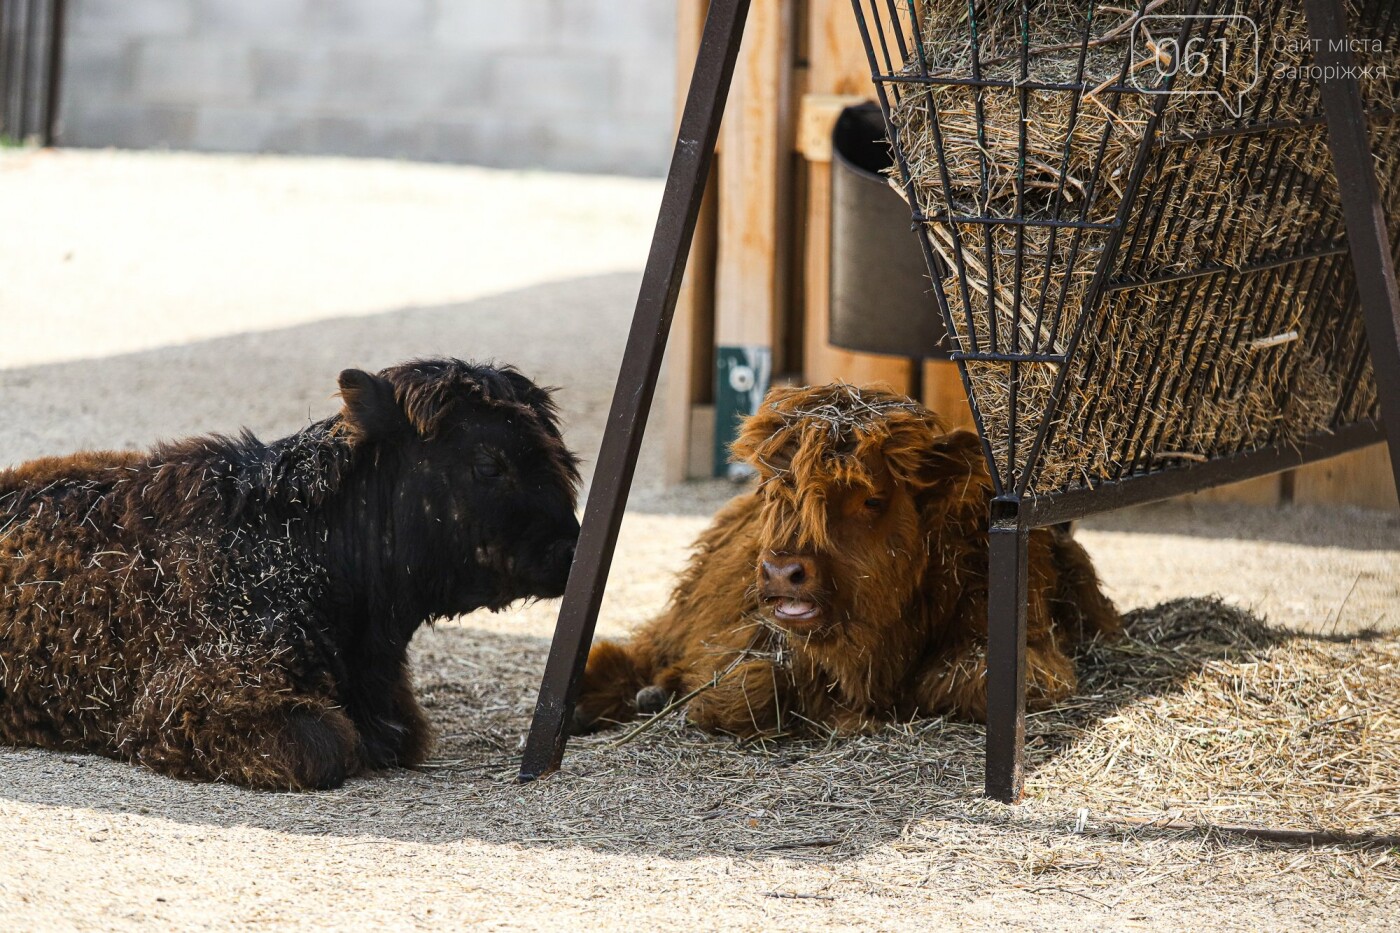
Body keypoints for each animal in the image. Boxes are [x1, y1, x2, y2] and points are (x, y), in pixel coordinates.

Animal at [574, 381, 1120, 739]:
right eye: (775, 490)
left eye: (872, 498)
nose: (782, 572)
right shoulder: (745, 639)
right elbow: (747, 689)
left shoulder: (1031, 655)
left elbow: (961, 682)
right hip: (684, 616)